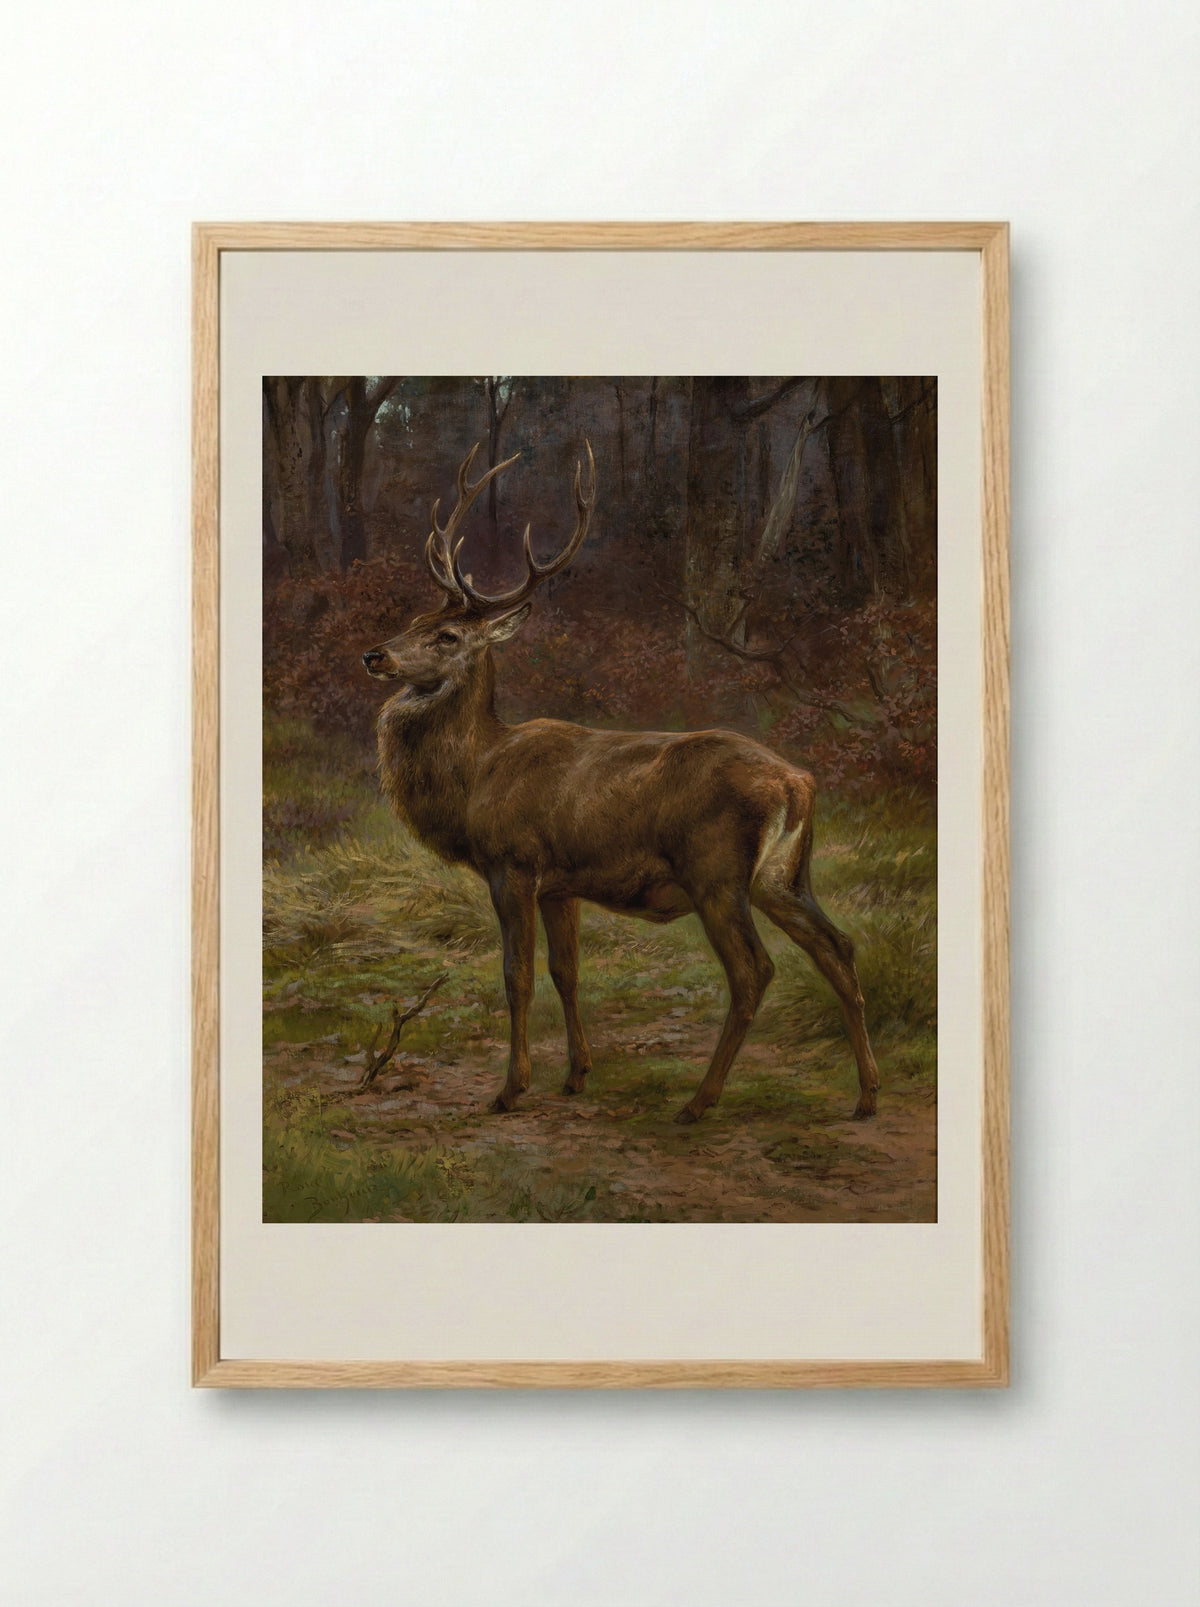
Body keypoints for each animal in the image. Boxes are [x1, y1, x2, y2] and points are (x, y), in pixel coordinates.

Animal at [362, 443, 880, 1125]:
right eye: (415, 618)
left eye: (446, 635)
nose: (375, 655)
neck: (477, 775)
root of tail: (797, 782)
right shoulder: (559, 884)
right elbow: (567, 972)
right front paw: (577, 1074)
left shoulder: (513, 863)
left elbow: (516, 976)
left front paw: (510, 1089)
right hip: (785, 876)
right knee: (839, 949)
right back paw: (867, 1096)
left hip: (716, 871)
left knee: (754, 971)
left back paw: (699, 1101)